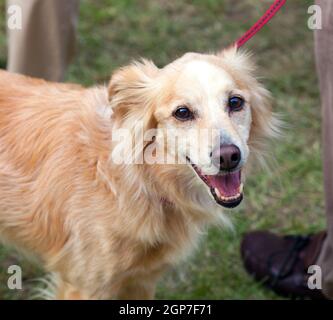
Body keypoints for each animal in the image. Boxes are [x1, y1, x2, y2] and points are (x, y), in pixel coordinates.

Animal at [0, 48, 276, 300]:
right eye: (182, 112)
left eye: (235, 102)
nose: (228, 157)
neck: (140, 181)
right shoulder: (84, 285)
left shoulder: (141, 279)